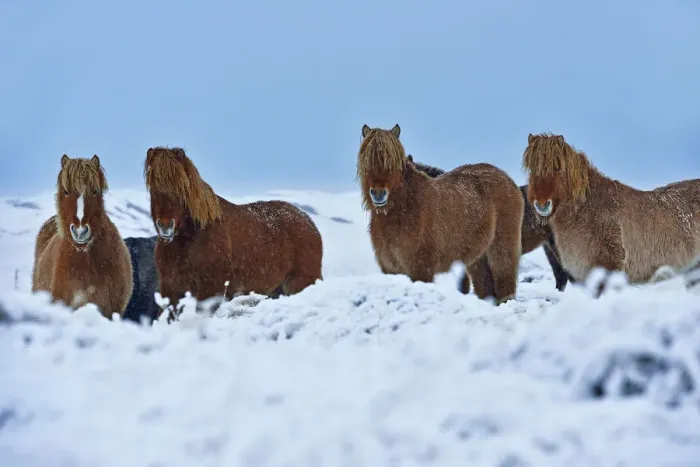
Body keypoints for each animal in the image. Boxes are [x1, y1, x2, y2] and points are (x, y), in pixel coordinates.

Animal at [144, 146, 324, 313]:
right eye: (152, 188)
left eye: (182, 188)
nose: (165, 226)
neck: (190, 239)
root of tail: (309, 223)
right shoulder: (171, 290)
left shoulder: (210, 291)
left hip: (299, 283)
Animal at [358, 124, 524, 304]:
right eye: (366, 161)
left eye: (392, 161)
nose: (378, 194)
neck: (405, 210)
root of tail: (508, 180)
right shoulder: (390, 269)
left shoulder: (420, 270)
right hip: (477, 260)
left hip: (501, 250)